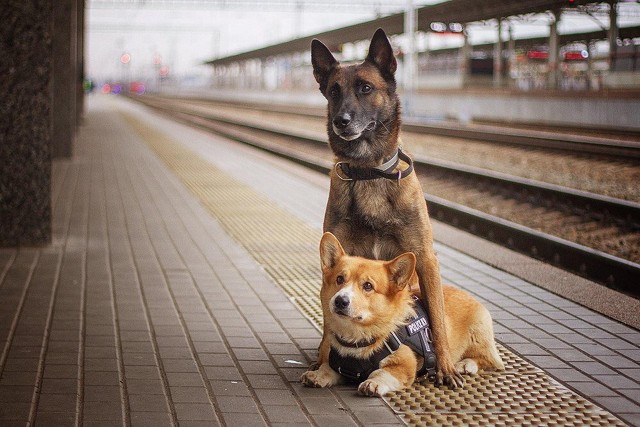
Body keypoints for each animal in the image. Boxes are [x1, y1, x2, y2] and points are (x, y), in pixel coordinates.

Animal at [302, 234, 504, 398]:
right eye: (339, 279)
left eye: (368, 286)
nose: (340, 301)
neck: (355, 337)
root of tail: (468, 294)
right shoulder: (338, 364)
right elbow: (326, 368)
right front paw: (316, 375)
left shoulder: (404, 366)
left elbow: (382, 373)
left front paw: (372, 383)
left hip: (479, 334)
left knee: (490, 361)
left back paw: (465, 365)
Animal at [312, 29, 464, 388]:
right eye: (334, 91)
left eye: (366, 88)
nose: (341, 121)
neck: (369, 171)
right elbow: (328, 322)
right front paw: (324, 362)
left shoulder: (425, 257)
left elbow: (437, 318)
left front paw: (445, 367)